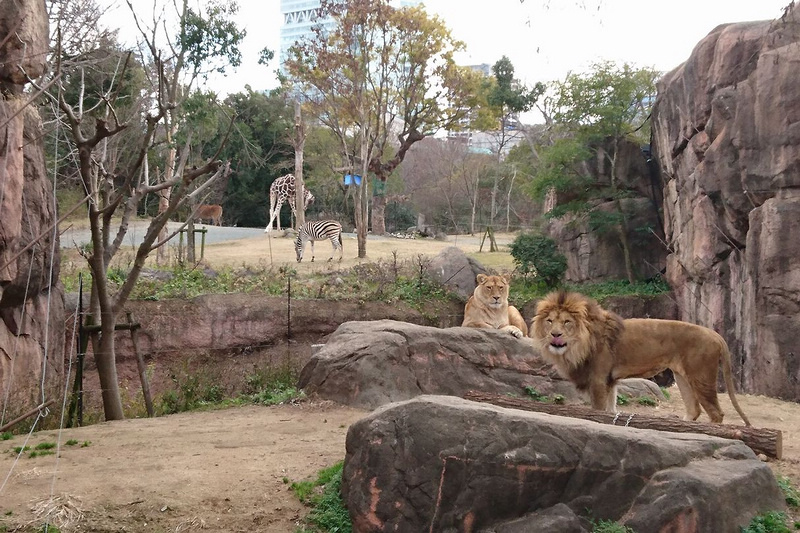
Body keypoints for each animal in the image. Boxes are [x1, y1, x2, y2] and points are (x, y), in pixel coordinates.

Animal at [532, 288, 752, 426]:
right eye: (550, 321)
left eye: (567, 322)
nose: (555, 335)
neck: (579, 344)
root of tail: (716, 335)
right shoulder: (610, 381)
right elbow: (611, 410)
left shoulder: (598, 381)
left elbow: (599, 410)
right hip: (682, 377)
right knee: (694, 410)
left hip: (701, 377)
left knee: (716, 413)